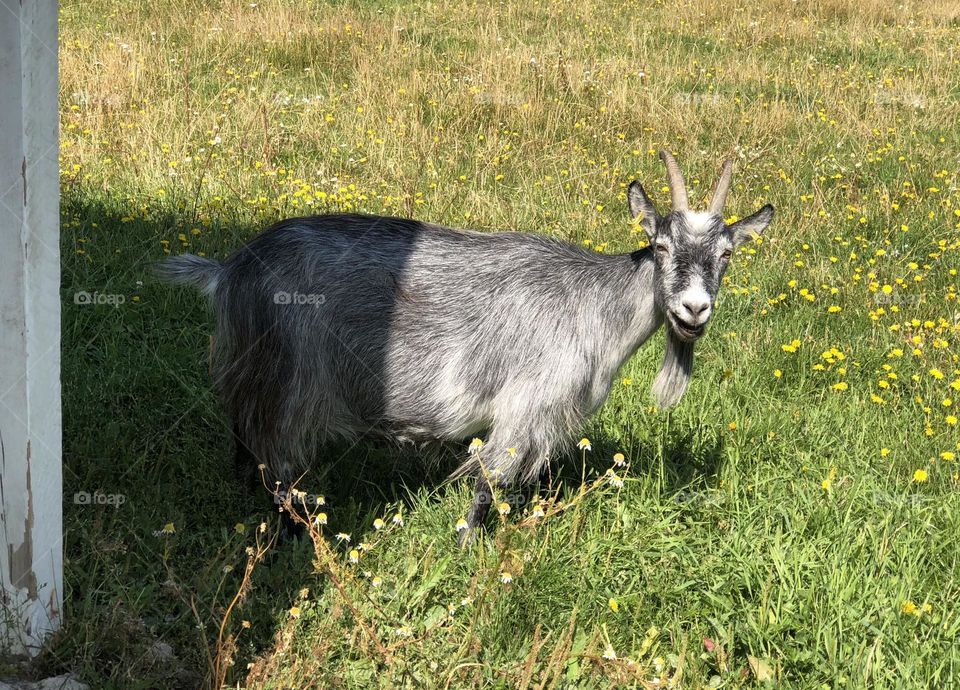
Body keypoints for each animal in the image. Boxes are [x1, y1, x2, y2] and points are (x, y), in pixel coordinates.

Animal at [159, 151, 773, 543]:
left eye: (726, 254)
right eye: (662, 244)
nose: (694, 309)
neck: (594, 305)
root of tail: (229, 270)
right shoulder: (525, 405)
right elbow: (486, 484)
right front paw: (468, 551)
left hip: (251, 370)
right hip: (290, 381)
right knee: (277, 463)